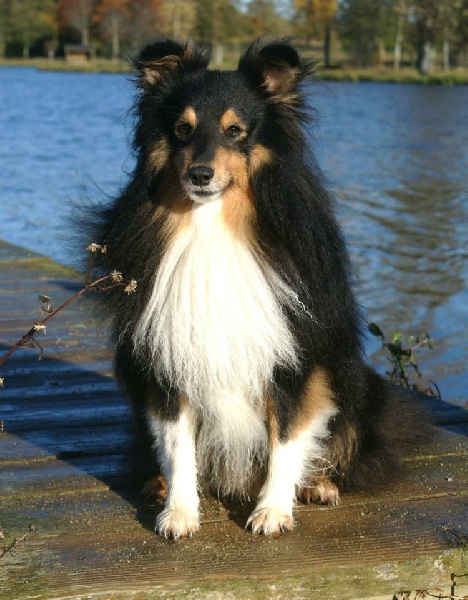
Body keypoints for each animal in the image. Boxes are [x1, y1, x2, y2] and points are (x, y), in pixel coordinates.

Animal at [89, 36, 422, 539]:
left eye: (235, 131)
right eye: (182, 129)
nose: (200, 175)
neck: (212, 224)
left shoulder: (294, 356)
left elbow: (286, 436)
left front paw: (272, 511)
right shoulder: (168, 354)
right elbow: (177, 442)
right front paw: (180, 513)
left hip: (355, 384)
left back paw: (319, 485)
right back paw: (158, 486)